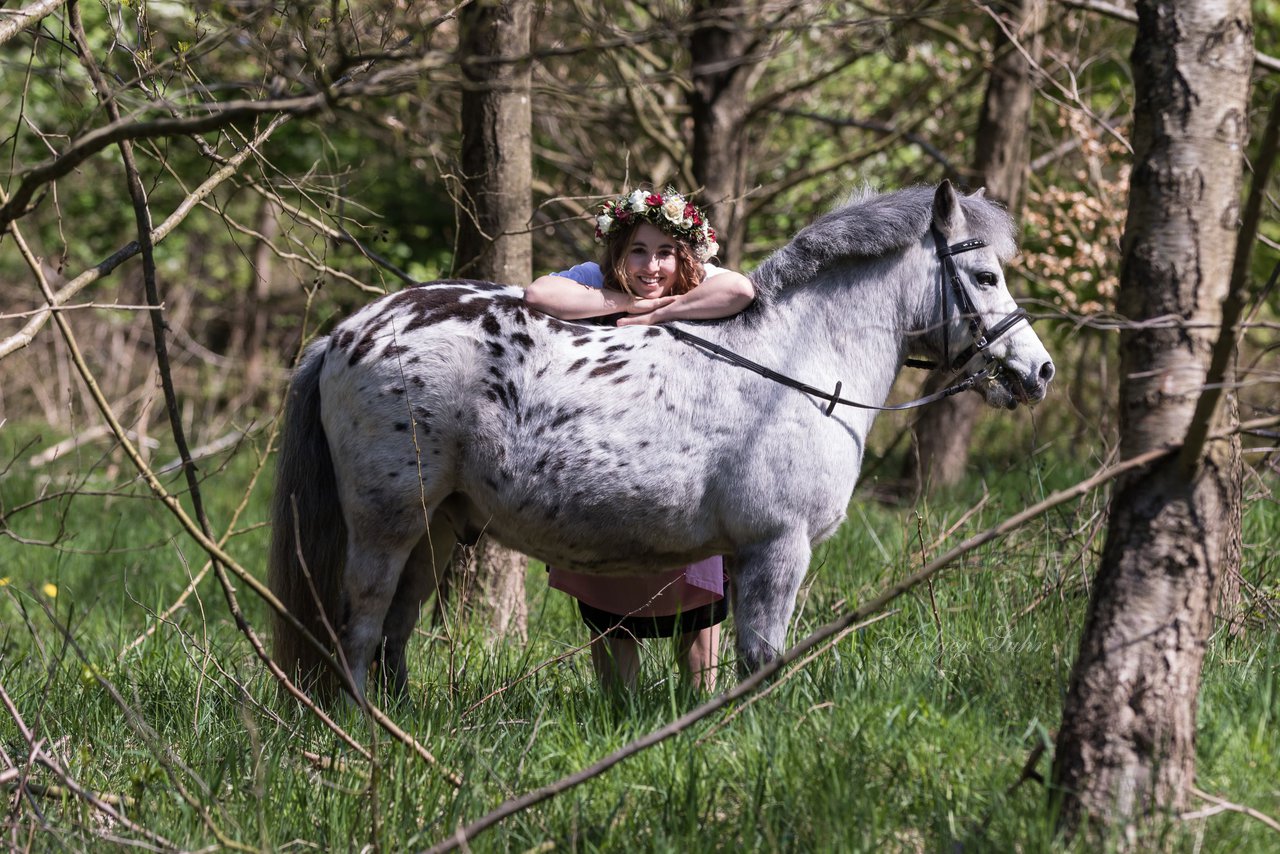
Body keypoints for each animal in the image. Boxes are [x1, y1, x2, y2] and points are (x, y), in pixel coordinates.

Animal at [267, 184, 1049, 696]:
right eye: (986, 275)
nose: (1037, 371)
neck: (793, 365)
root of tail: (348, 333)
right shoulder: (779, 547)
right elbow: (761, 660)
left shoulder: (745, 554)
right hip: (387, 525)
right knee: (360, 626)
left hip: (435, 529)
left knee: (394, 632)